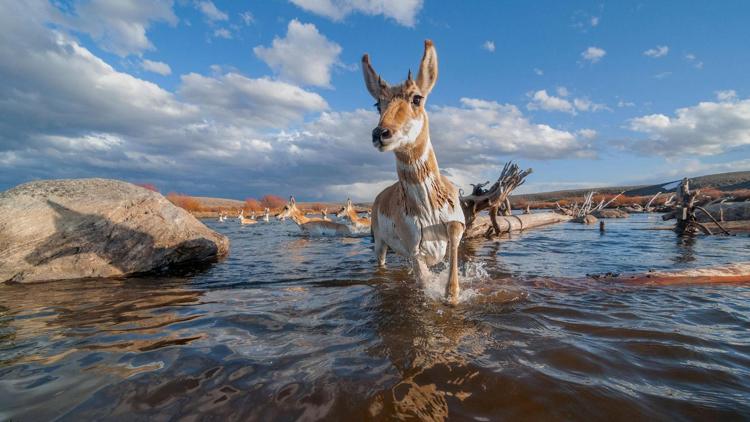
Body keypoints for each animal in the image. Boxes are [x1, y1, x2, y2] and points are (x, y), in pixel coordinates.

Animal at [362, 39, 464, 304]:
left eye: (417, 98)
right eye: (378, 103)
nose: (380, 133)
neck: (428, 209)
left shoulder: (456, 226)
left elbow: (453, 234)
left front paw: (451, 294)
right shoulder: (414, 250)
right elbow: (425, 283)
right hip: (381, 246)